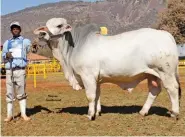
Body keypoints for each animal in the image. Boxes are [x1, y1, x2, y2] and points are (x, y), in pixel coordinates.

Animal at [33, 17, 181, 120]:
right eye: (45, 25)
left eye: (59, 25)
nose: (42, 35)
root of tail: (166, 34)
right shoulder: (96, 78)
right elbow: (97, 95)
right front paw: (97, 112)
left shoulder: (87, 76)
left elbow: (91, 96)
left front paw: (90, 114)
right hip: (152, 74)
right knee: (154, 90)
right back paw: (143, 112)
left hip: (165, 72)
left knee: (172, 89)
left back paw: (175, 113)